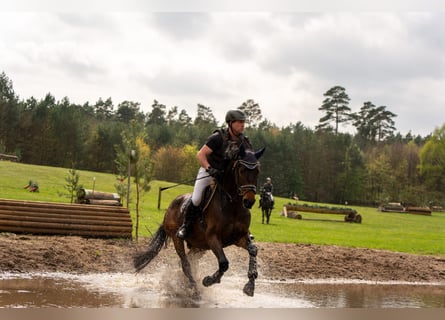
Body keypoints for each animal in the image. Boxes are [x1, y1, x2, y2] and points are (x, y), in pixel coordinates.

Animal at [132, 144, 264, 298]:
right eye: (242, 170)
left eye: (257, 171)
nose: (249, 201)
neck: (233, 205)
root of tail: (169, 209)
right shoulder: (213, 237)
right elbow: (223, 263)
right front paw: (209, 280)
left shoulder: (239, 237)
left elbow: (253, 250)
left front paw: (250, 285)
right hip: (178, 239)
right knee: (185, 264)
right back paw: (194, 290)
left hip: (199, 247)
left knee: (187, 262)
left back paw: (183, 284)